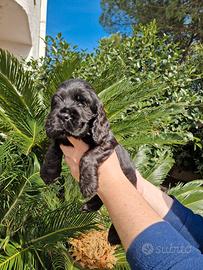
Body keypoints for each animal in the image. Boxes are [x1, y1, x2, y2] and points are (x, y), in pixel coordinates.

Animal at [40, 78, 136, 245]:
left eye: (82, 102)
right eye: (57, 101)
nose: (64, 115)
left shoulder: (107, 142)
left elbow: (88, 156)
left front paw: (87, 184)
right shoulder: (61, 138)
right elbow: (53, 147)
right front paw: (48, 173)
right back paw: (89, 206)